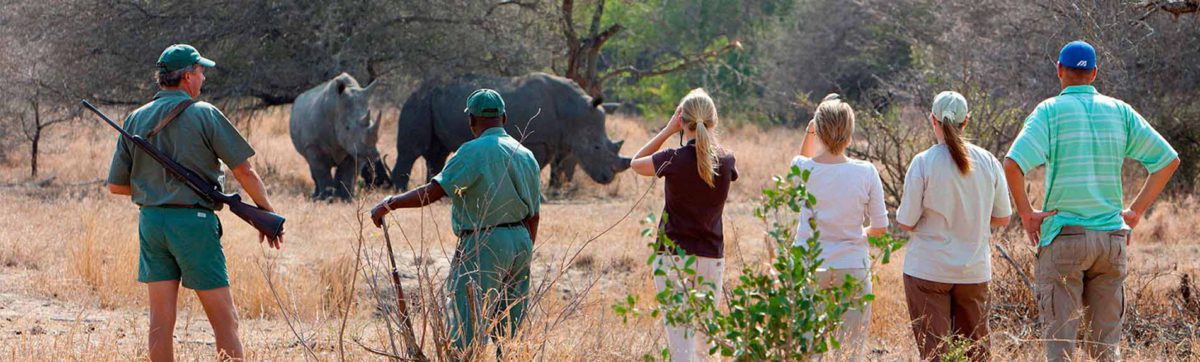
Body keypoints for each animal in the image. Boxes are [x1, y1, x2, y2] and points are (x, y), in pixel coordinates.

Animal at [396, 73, 638, 191]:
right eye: (596, 147)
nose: (608, 178)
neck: (574, 111)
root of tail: (416, 89)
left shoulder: (558, 139)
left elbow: (558, 164)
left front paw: (555, 190)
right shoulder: (537, 141)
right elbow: (539, 164)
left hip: (431, 102)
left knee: (437, 152)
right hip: (419, 102)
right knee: (411, 150)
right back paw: (398, 190)